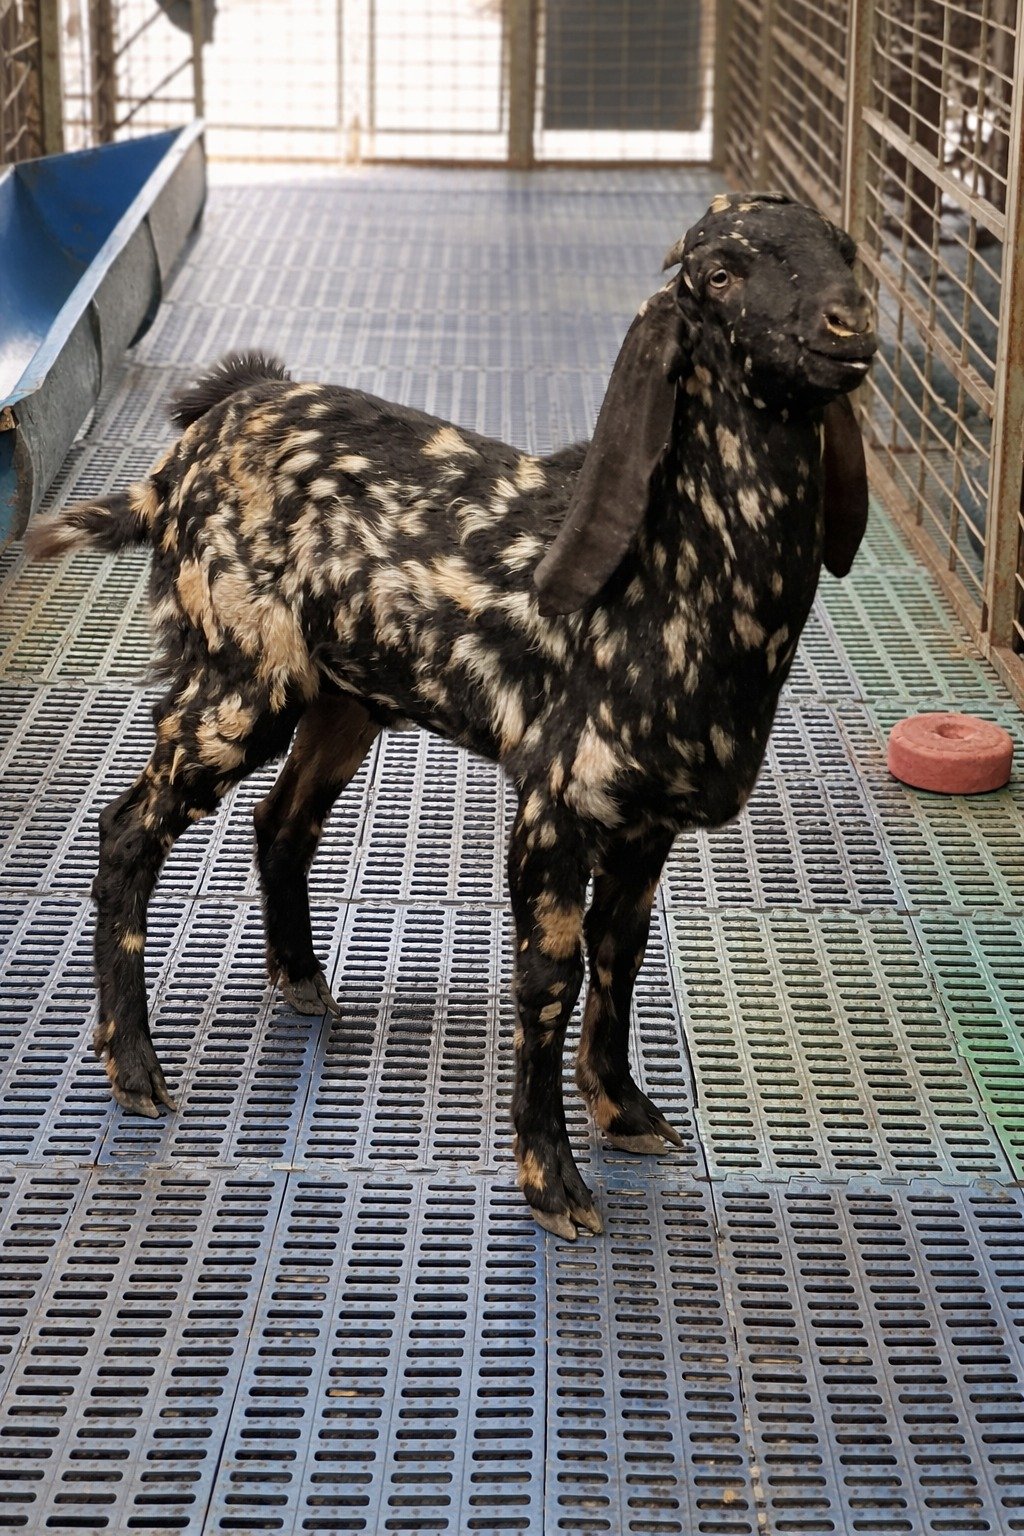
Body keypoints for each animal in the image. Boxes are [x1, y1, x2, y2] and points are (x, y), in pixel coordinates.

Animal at [25, 191, 875, 1239]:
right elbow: (551, 977)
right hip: (235, 680)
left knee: (282, 819)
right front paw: (552, 1181)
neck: (670, 586)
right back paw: (135, 1068)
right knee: (127, 830)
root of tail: (187, 448)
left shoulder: (647, 825)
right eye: (717, 274)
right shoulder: (554, 804)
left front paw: (625, 1111)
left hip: (343, 698)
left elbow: (622, 957)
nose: (850, 325)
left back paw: (300, 980)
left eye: (846, 251)